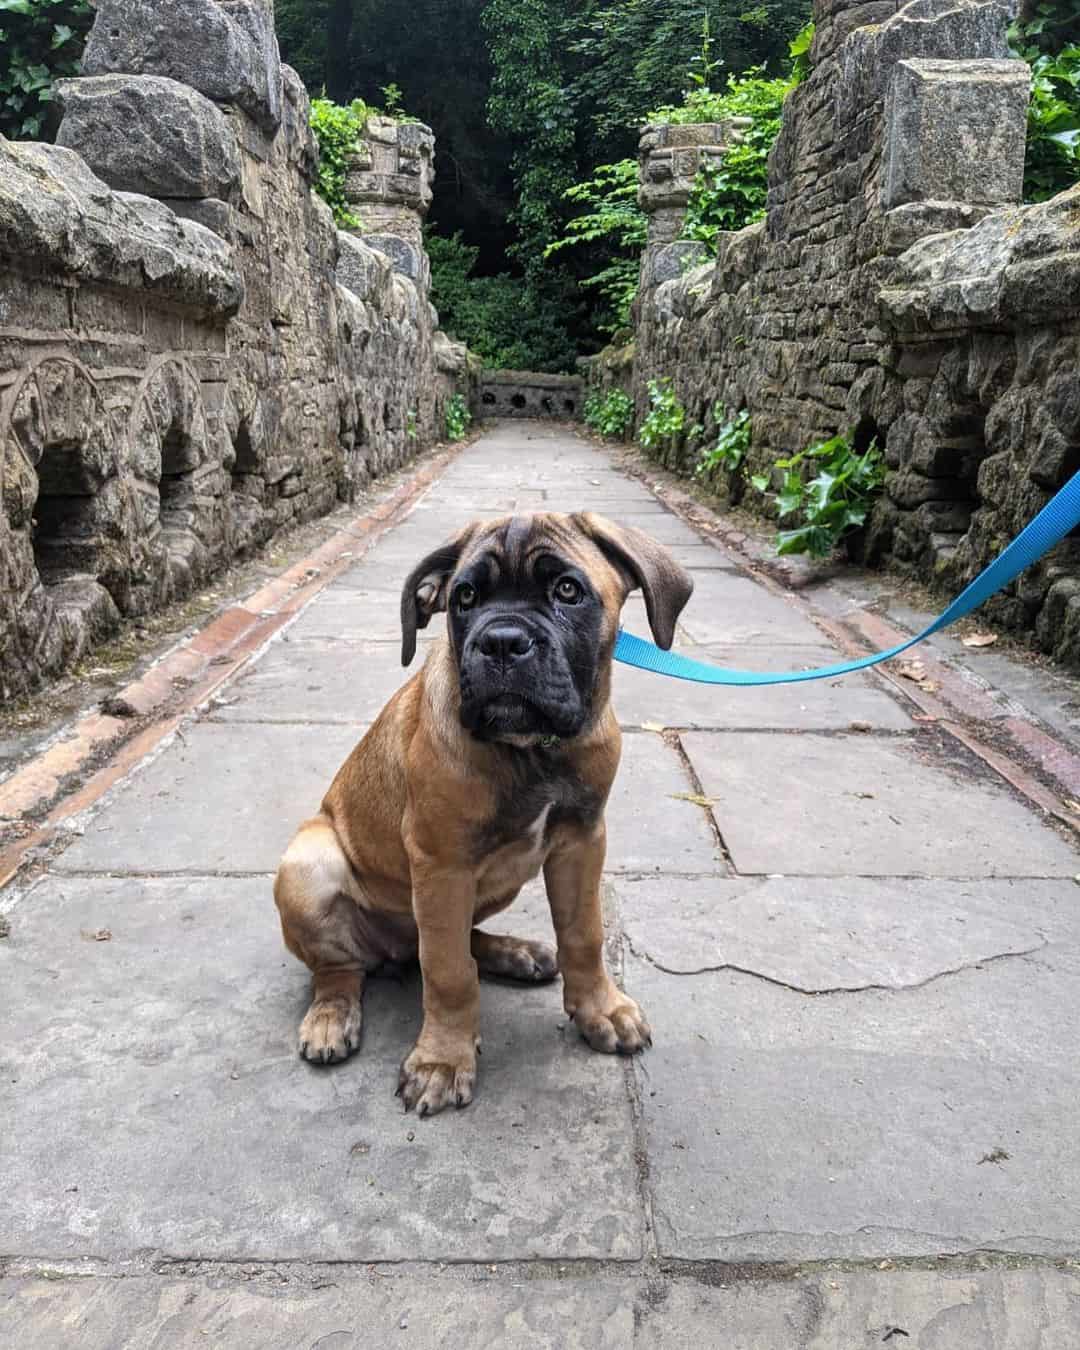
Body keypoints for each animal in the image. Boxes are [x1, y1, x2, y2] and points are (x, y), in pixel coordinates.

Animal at [272, 510, 691, 1112]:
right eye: (465, 598)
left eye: (568, 591)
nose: (502, 642)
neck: (532, 750)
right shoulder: (442, 863)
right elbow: (447, 972)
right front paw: (443, 1061)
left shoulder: (582, 841)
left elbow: (583, 932)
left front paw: (600, 1009)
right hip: (308, 862)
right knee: (343, 966)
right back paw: (331, 1018)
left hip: (499, 881)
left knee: (451, 938)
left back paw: (513, 953)